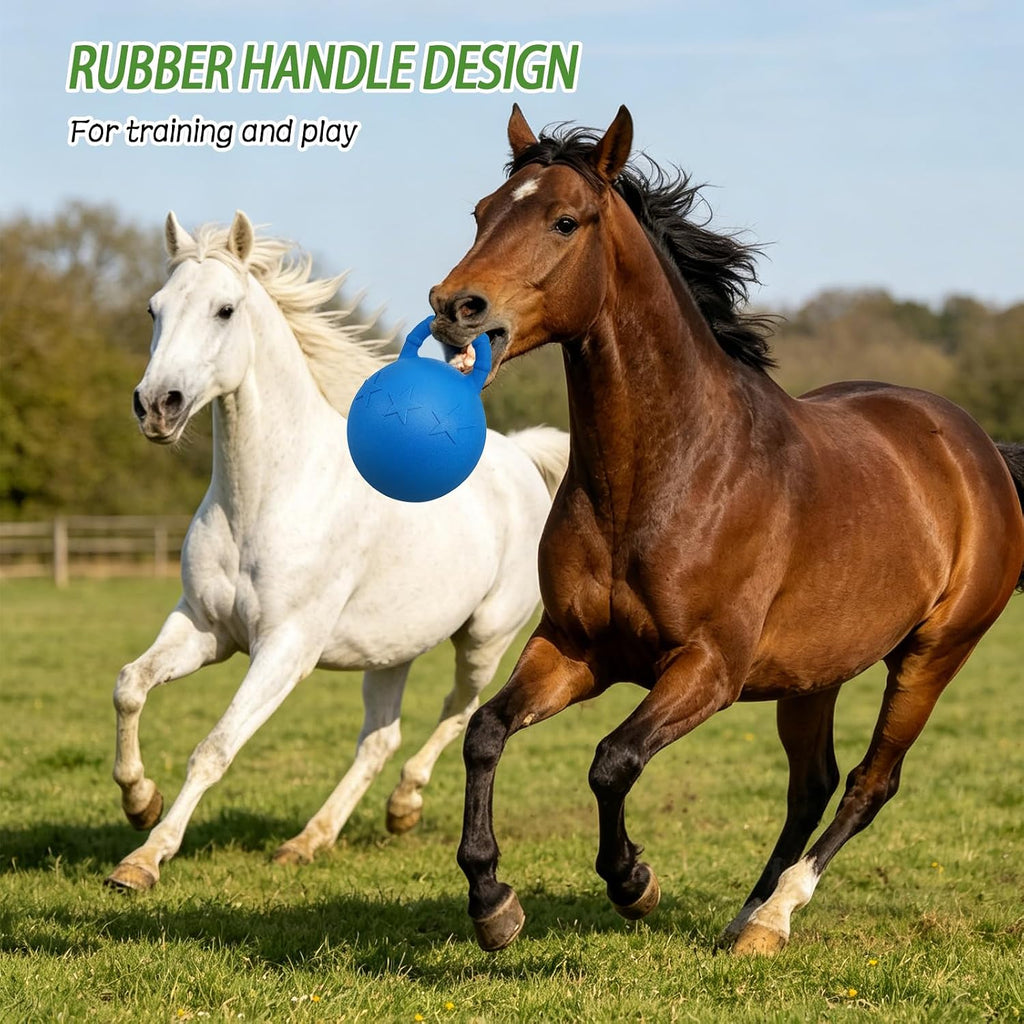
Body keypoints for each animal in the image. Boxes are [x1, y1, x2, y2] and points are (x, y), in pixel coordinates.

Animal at [105, 210, 569, 892]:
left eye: (224, 309)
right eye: (153, 309)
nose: (156, 405)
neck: (264, 497)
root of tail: (522, 456)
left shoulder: (283, 650)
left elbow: (215, 747)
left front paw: (144, 859)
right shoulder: (204, 629)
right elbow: (130, 685)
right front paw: (140, 802)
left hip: (485, 637)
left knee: (459, 712)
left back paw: (404, 805)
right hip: (393, 649)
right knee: (379, 738)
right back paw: (311, 840)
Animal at [428, 105, 1024, 954]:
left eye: (565, 220)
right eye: (481, 213)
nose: (454, 307)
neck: (665, 477)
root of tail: (980, 451)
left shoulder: (707, 669)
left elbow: (611, 760)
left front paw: (633, 882)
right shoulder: (574, 649)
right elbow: (485, 732)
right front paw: (492, 903)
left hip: (934, 654)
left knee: (871, 782)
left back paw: (775, 915)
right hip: (815, 671)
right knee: (812, 783)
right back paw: (748, 913)